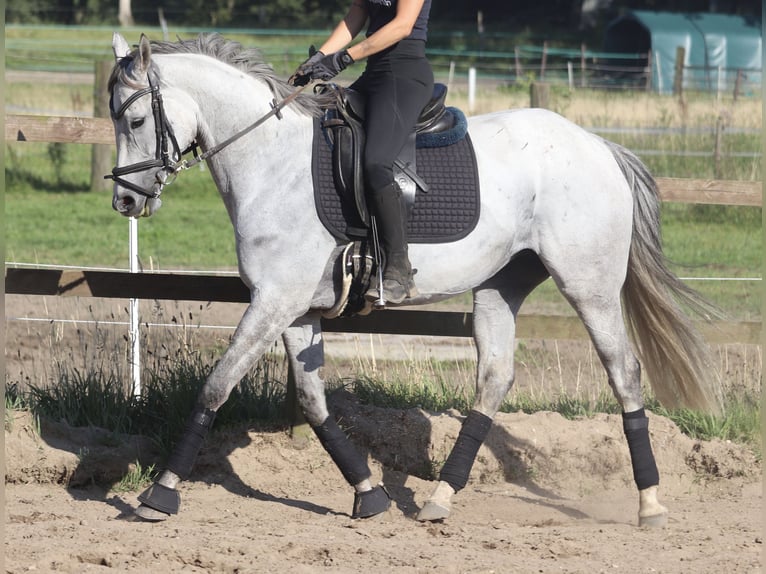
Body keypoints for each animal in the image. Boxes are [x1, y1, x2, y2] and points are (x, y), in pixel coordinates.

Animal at [109, 32, 728, 532]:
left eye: (135, 121)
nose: (125, 202)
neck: (270, 164)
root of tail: (599, 145)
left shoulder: (274, 301)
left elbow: (216, 386)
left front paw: (160, 494)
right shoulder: (294, 307)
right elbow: (313, 402)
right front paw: (369, 494)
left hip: (588, 285)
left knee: (623, 371)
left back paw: (650, 504)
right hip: (500, 286)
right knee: (494, 379)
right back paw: (439, 499)